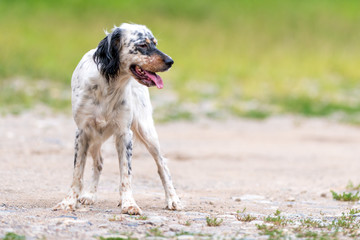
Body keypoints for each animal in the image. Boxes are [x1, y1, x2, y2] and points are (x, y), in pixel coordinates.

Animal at [52, 23, 183, 215]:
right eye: (142, 45)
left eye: (155, 43)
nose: (170, 61)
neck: (109, 86)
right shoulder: (82, 132)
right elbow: (77, 173)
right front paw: (68, 202)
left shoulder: (124, 134)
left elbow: (126, 174)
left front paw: (129, 203)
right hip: (95, 137)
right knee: (98, 162)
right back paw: (90, 195)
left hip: (147, 131)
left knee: (162, 165)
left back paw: (172, 199)